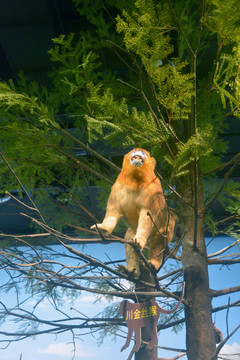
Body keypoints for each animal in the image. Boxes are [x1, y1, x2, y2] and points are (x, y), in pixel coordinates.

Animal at [91, 148, 175, 278]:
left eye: (144, 153)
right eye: (135, 151)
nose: (138, 153)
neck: (134, 180)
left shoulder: (153, 189)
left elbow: (147, 215)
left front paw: (140, 241)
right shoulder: (117, 187)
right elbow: (113, 211)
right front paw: (103, 228)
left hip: (168, 223)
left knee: (161, 234)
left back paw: (153, 264)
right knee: (129, 236)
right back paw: (131, 271)